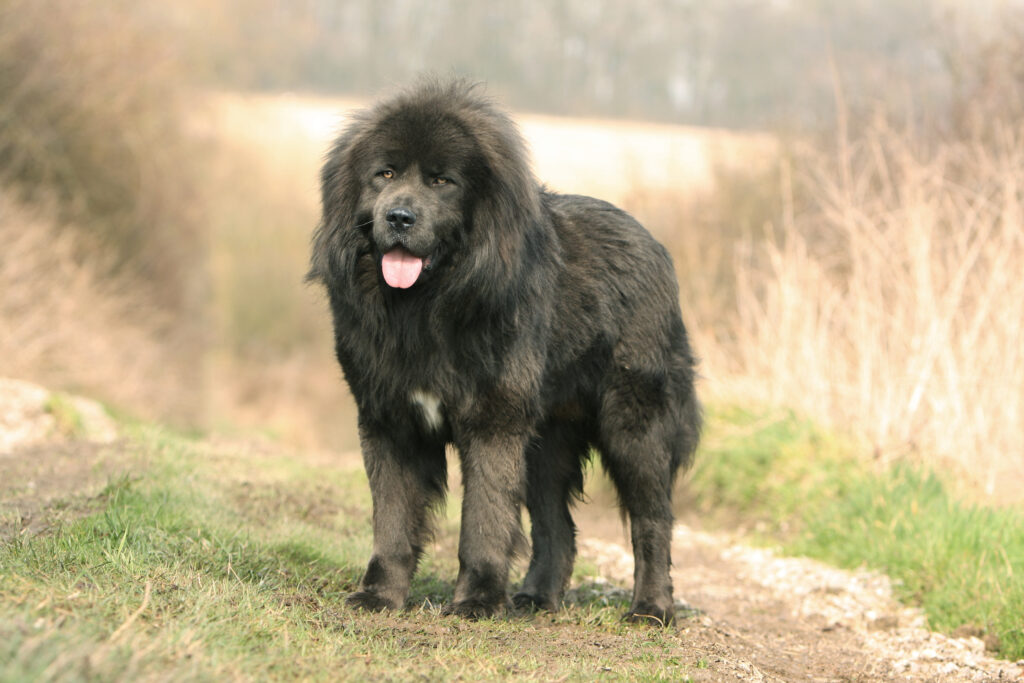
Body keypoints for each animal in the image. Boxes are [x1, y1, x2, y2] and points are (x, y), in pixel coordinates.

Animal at [307, 80, 700, 626]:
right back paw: (536, 599)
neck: (426, 306)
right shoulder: (389, 420)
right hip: (545, 442)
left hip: (634, 427)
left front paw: (475, 601)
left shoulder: (493, 422)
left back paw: (651, 609)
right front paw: (380, 596)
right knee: (558, 528)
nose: (399, 216)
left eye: (442, 181)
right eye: (384, 174)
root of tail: (656, 248)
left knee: (652, 520)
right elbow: (392, 521)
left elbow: (484, 520)